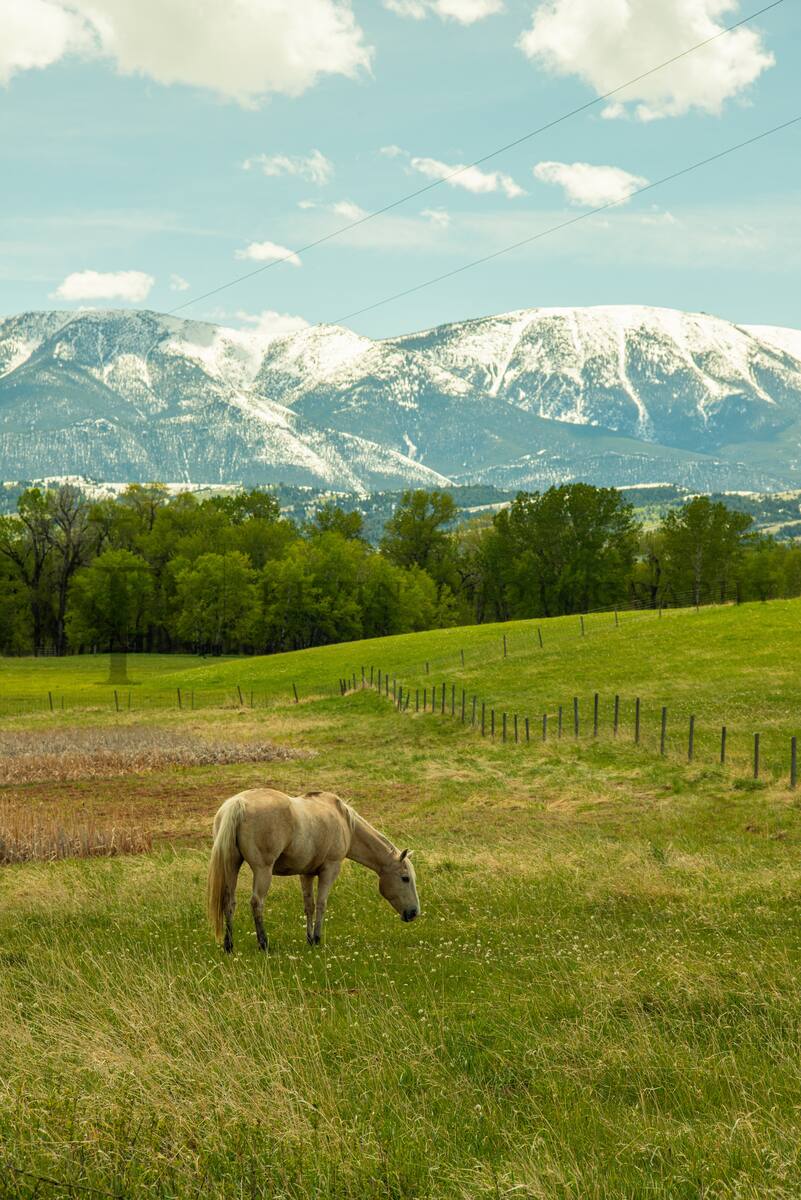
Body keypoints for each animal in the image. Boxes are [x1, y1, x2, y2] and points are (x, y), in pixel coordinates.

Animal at [207, 787, 420, 953]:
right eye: (405, 878)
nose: (414, 912)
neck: (344, 821)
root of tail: (238, 803)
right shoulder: (330, 869)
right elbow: (321, 903)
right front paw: (317, 938)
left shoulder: (306, 873)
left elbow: (308, 905)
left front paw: (309, 938)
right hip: (262, 870)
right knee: (257, 902)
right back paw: (263, 944)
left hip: (231, 866)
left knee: (229, 902)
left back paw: (229, 946)